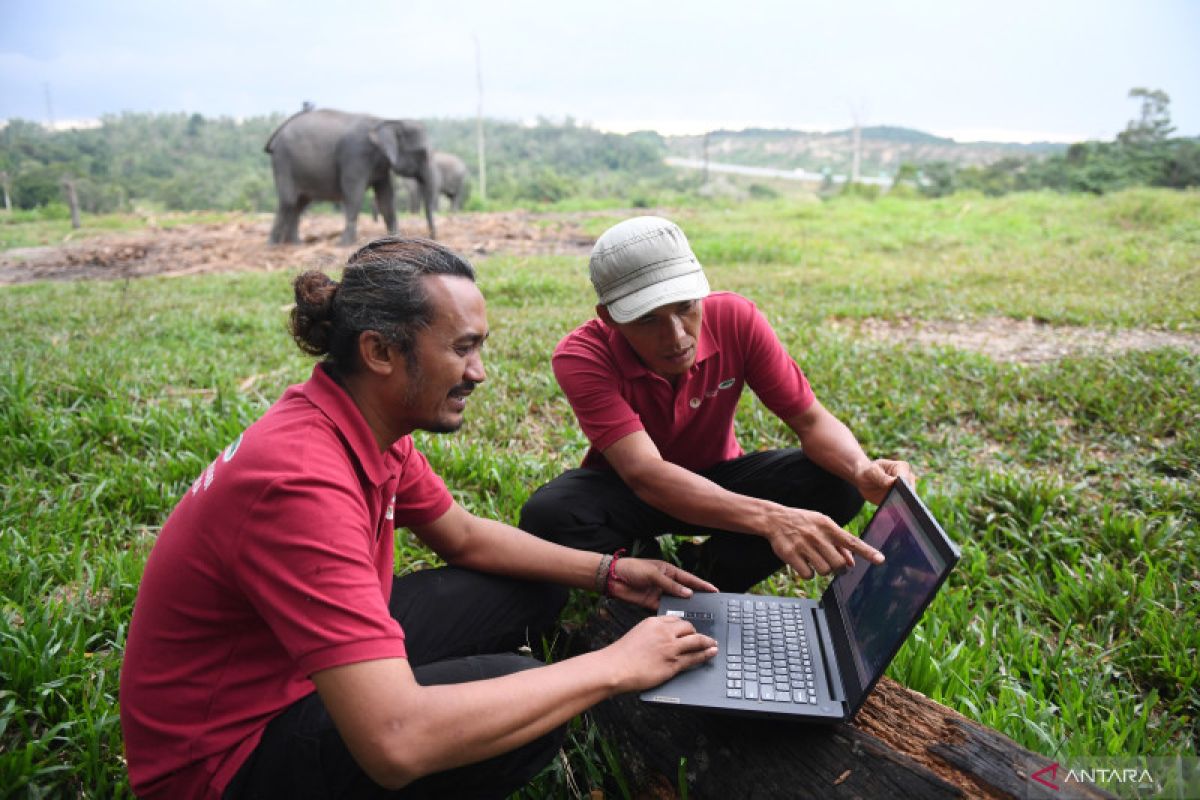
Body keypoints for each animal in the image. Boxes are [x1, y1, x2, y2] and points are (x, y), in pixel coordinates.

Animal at [262, 107, 436, 244]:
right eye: (421, 153)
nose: (432, 237)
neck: (386, 121)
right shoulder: (356, 155)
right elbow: (354, 193)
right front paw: (343, 244)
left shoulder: (381, 167)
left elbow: (386, 198)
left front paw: (395, 239)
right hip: (283, 161)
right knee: (289, 200)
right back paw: (273, 245)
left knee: (300, 203)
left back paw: (295, 244)